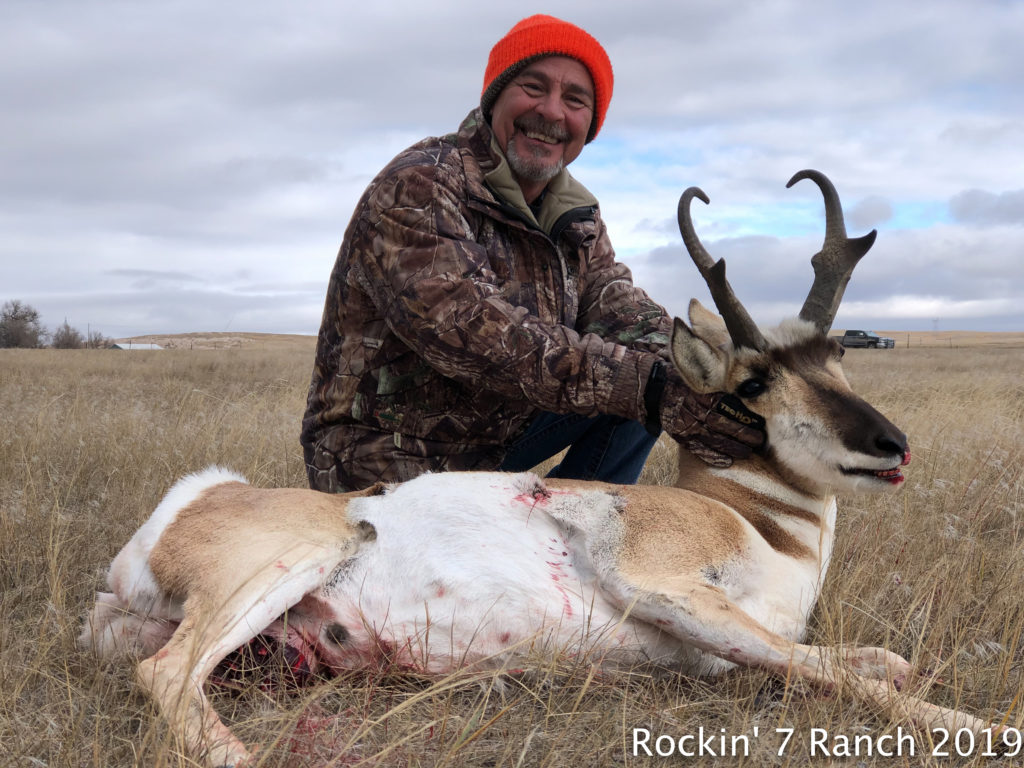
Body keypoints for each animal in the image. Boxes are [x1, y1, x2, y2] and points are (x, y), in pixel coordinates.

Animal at [81, 171, 999, 765]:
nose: (891, 445)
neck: (758, 522)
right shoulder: (669, 589)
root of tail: (190, 504)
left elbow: (873, 661)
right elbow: (835, 671)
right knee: (166, 674)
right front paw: (982, 727)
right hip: (289, 560)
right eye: (753, 384)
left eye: (839, 353)